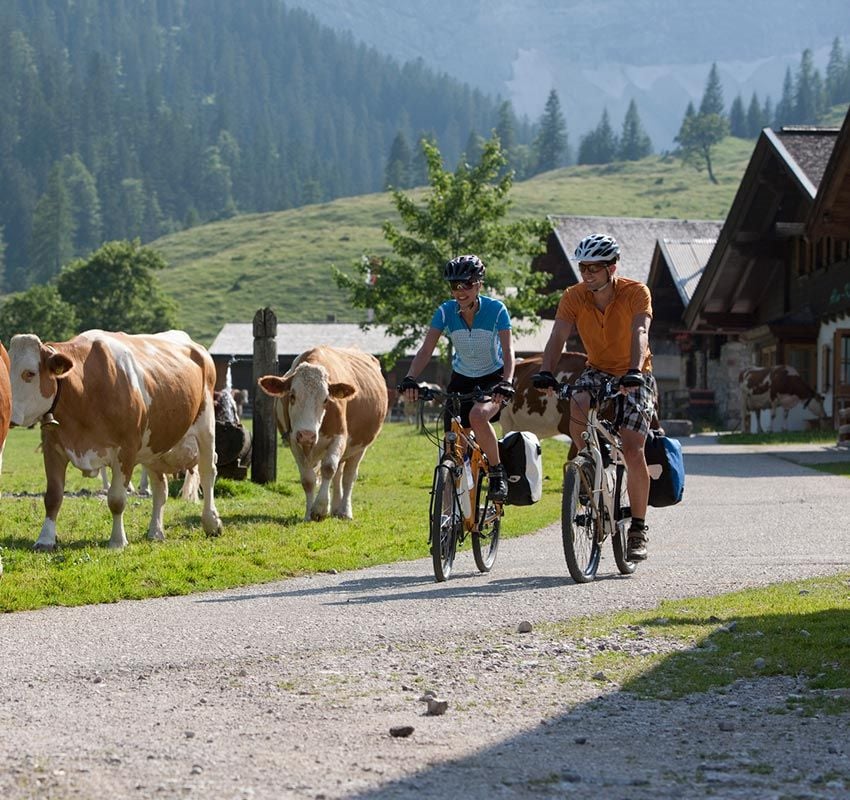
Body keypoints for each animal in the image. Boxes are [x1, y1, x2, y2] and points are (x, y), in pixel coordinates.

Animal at [9, 332, 222, 552]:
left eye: (29, 373)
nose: (7, 412)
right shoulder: (53, 447)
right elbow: (53, 497)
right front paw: (45, 539)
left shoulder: (126, 450)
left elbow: (117, 499)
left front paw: (118, 541)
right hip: (154, 445)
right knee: (160, 488)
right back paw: (156, 531)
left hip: (206, 425)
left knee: (207, 473)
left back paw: (211, 522)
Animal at [256, 346, 386, 520]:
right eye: (292, 396)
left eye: (326, 399)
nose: (307, 435)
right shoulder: (293, 441)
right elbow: (308, 479)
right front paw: (309, 514)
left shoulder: (339, 438)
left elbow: (329, 468)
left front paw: (320, 508)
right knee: (338, 475)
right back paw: (336, 507)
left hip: (360, 446)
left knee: (348, 477)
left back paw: (345, 511)